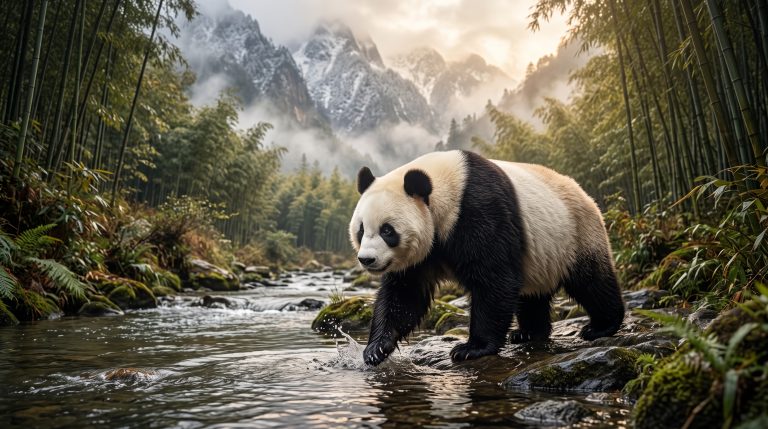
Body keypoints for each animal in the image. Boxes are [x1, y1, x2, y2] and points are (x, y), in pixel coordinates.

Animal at [350, 150, 625, 366]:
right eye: (362, 229)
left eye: (387, 231)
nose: (367, 259)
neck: (446, 184)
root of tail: (585, 194)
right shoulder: (422, 255)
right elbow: (405, 294)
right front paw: (376, 348)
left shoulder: (478, 209)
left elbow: (494, 279)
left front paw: (471, 348)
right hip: (542, 255)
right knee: (532, 294)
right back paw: (528, 333)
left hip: (576, 233)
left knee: (591, 281)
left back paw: (601, 326)